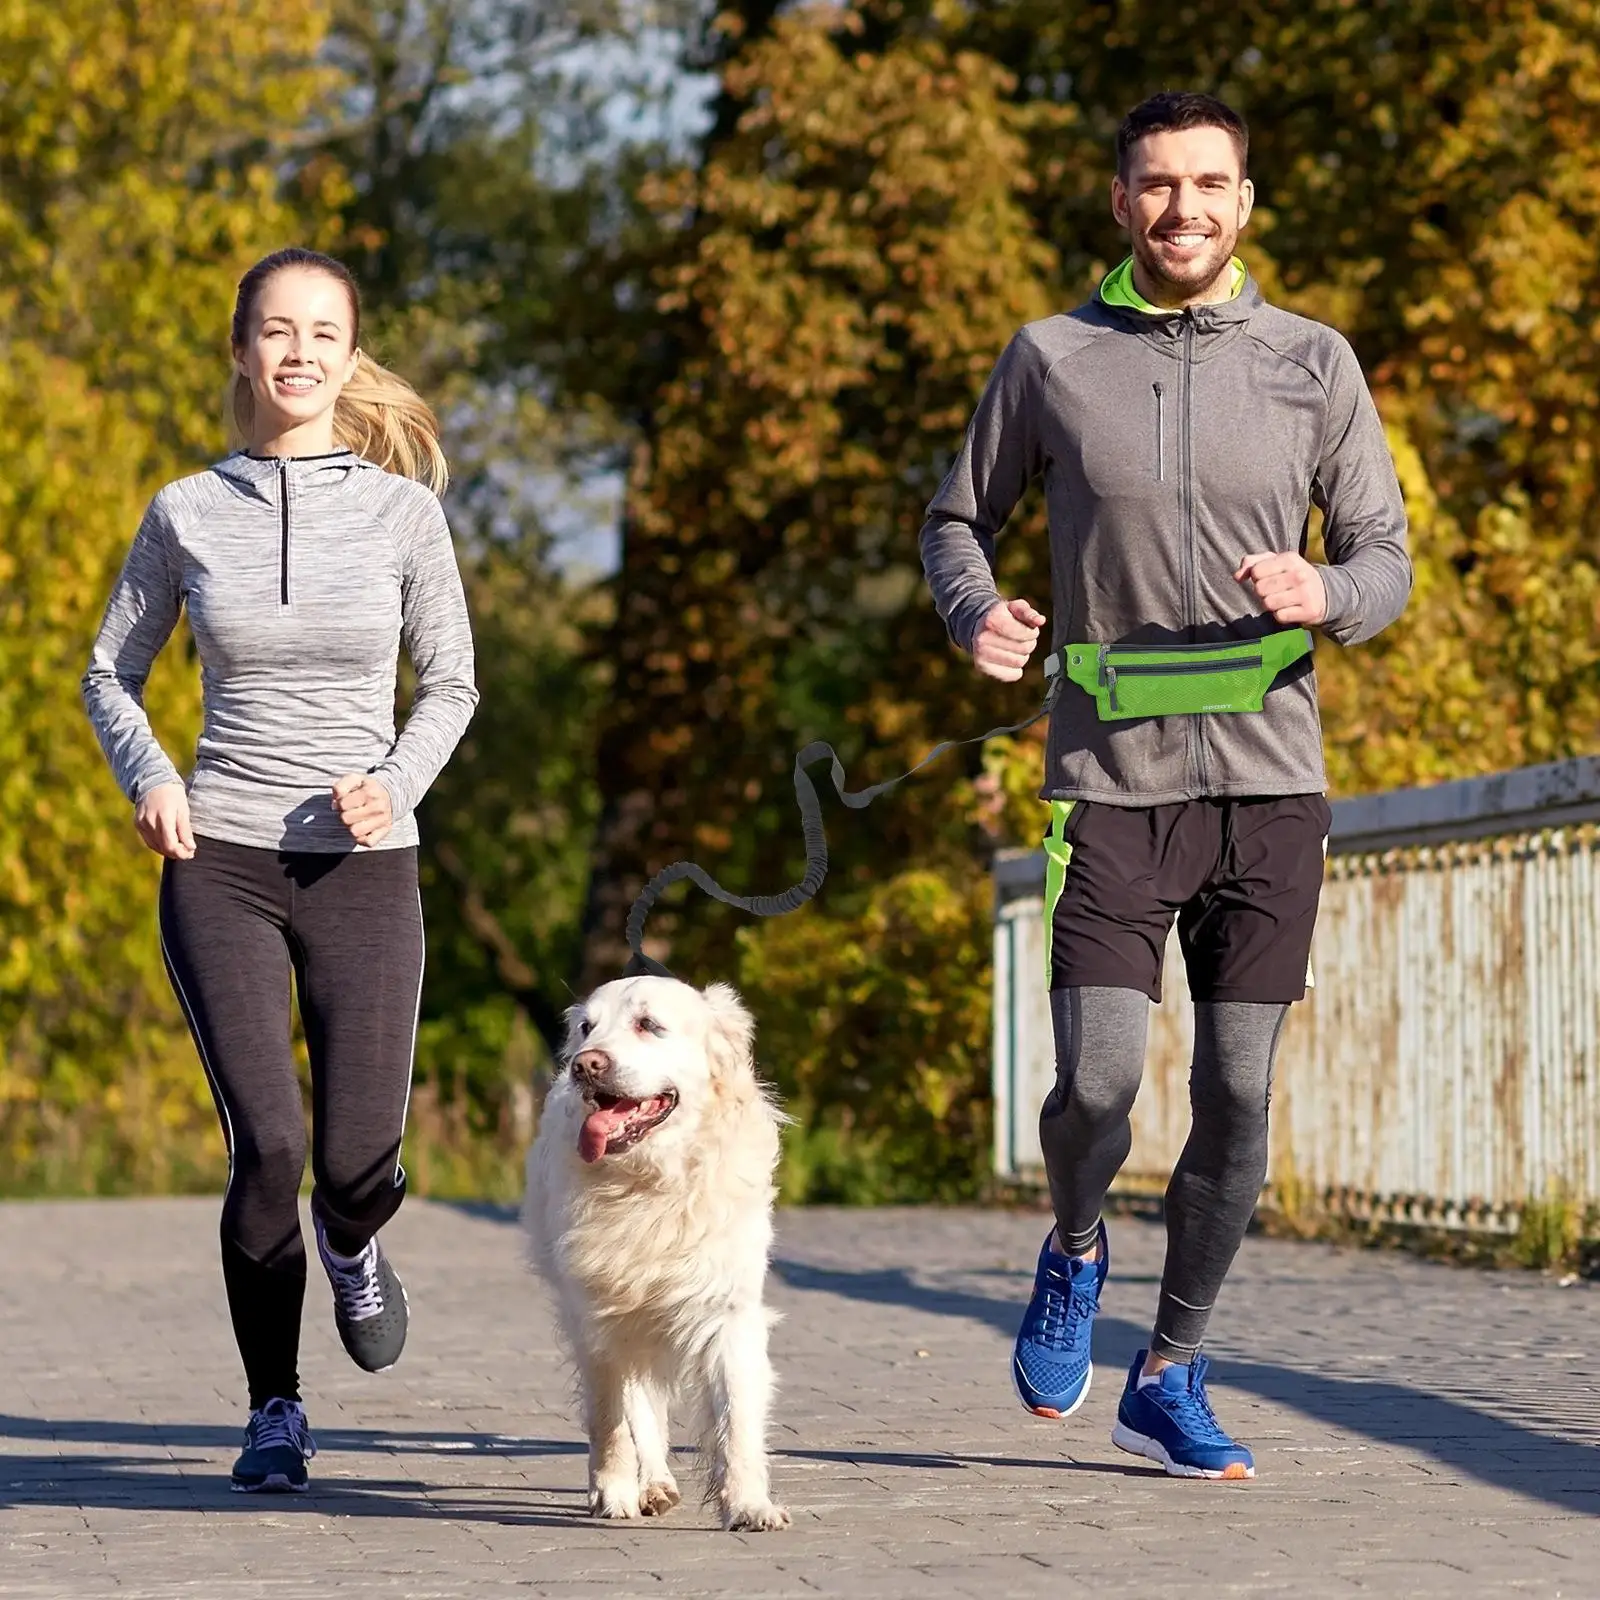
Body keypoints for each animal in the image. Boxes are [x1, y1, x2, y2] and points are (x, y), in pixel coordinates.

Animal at [521, 966, 790, 1529]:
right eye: (586, 1028)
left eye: (649, 1025)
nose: (585, 1065)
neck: (650, 1185)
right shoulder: (599, 1318)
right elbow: (613, 1419)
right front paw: (614, 1492)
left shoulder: (729, 1309)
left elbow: (737, 1420)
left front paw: (749, 1505)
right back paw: (652, 1485)